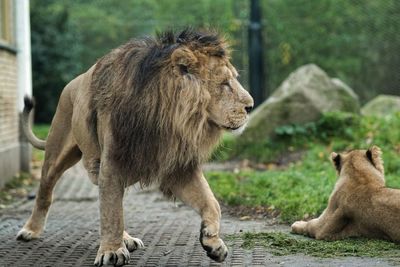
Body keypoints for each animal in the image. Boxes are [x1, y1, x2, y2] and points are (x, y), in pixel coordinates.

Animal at [17, 28, 253, 266]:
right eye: (225, 83)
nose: (251, 106)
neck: (168, 118)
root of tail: (72, 82)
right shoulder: (112, 162)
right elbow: (112, 213)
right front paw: (112, 251)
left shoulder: (178, 167)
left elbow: (212, 203)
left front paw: (213, 243)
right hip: (57, 152)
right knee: (45, 191)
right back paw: (30, 230)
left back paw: (127, 239)